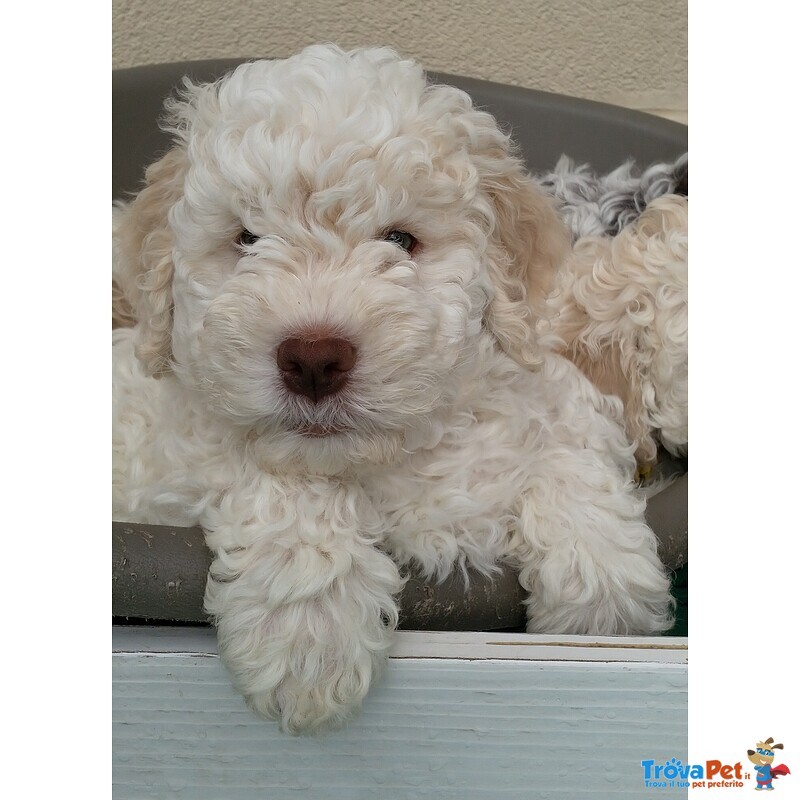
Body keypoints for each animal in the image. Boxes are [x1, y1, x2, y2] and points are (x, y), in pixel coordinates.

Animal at [112, 42, 676, 732]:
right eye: (246, 240)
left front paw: (602, 593)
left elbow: (566, 445)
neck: (389, 455)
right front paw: (309, 637)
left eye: (401, 240)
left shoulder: (539, 391)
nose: (313, 359)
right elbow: (286, 479)